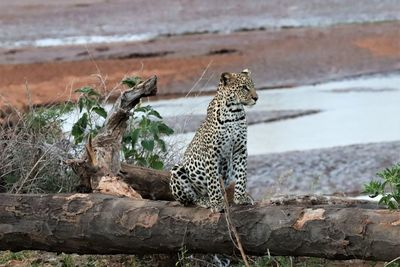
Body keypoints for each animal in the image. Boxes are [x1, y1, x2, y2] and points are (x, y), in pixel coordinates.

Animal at [170, 69, 258, 214]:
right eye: (244, 87)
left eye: (253, 86)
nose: (256, 98)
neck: (234, 112)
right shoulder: (212, 153)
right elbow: (213, 180)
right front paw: (217, 203)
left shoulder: (240, 149)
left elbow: (242, 174)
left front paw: (240, 197)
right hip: (176, 171)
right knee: (190, 199)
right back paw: (206, 201)